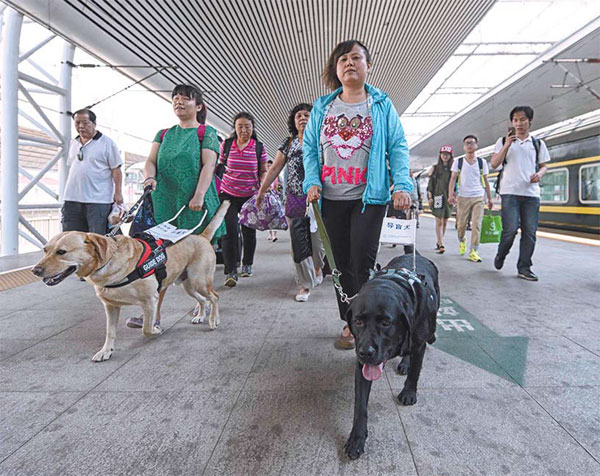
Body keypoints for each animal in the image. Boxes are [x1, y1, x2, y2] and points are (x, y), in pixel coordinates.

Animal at [32, 201, 230, 360]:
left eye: (61, 252)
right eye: (45, 250)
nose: (35, 270)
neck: (108, 264)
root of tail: (201, 236)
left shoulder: (150, 301)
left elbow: (146, 329)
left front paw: (156, 330)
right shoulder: (110, 306)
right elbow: (110, 332)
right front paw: (106, 351)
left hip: (199, 280)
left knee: (214, 297)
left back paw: (213, 319)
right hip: (187, 284)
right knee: (203, 300)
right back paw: (201, 316)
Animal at [344, 255, 438, 460]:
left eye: (386, 322)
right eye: (358, 321)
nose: (366, 352)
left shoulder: (419, 344)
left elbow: (415, 372)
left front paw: (409, 392)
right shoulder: (361, 366)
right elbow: (360, 406)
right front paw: (357, 437)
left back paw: (405, 364)